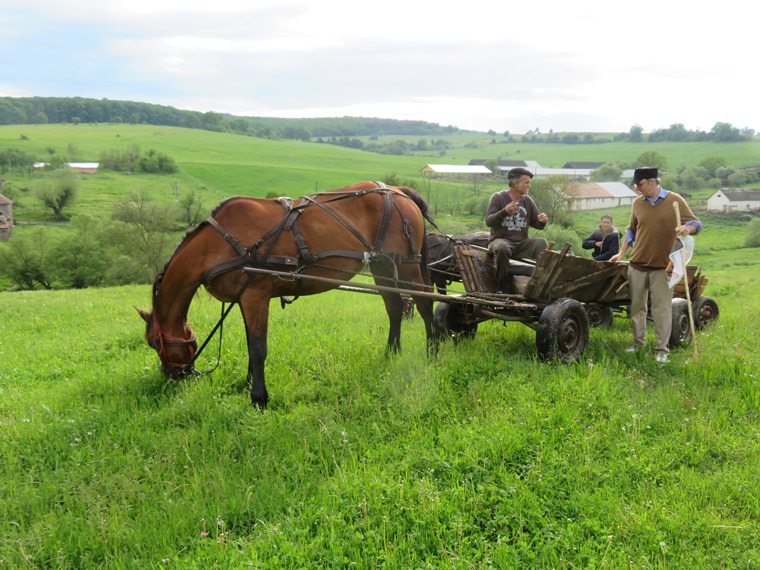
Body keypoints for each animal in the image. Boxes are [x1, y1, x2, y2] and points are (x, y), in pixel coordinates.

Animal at [137, 180, 440, 406]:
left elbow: (258, 348)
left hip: (407, 265)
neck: (216, 244)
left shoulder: (256, 295)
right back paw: (391, 353)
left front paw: (259, 398)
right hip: (382, 265)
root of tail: (399, 191)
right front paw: (248, 384)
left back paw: (433, 352)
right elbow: (250, 343)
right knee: (394, 308)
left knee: (425, 305)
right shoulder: (246, 299)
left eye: (153, 341)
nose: (170, 376)